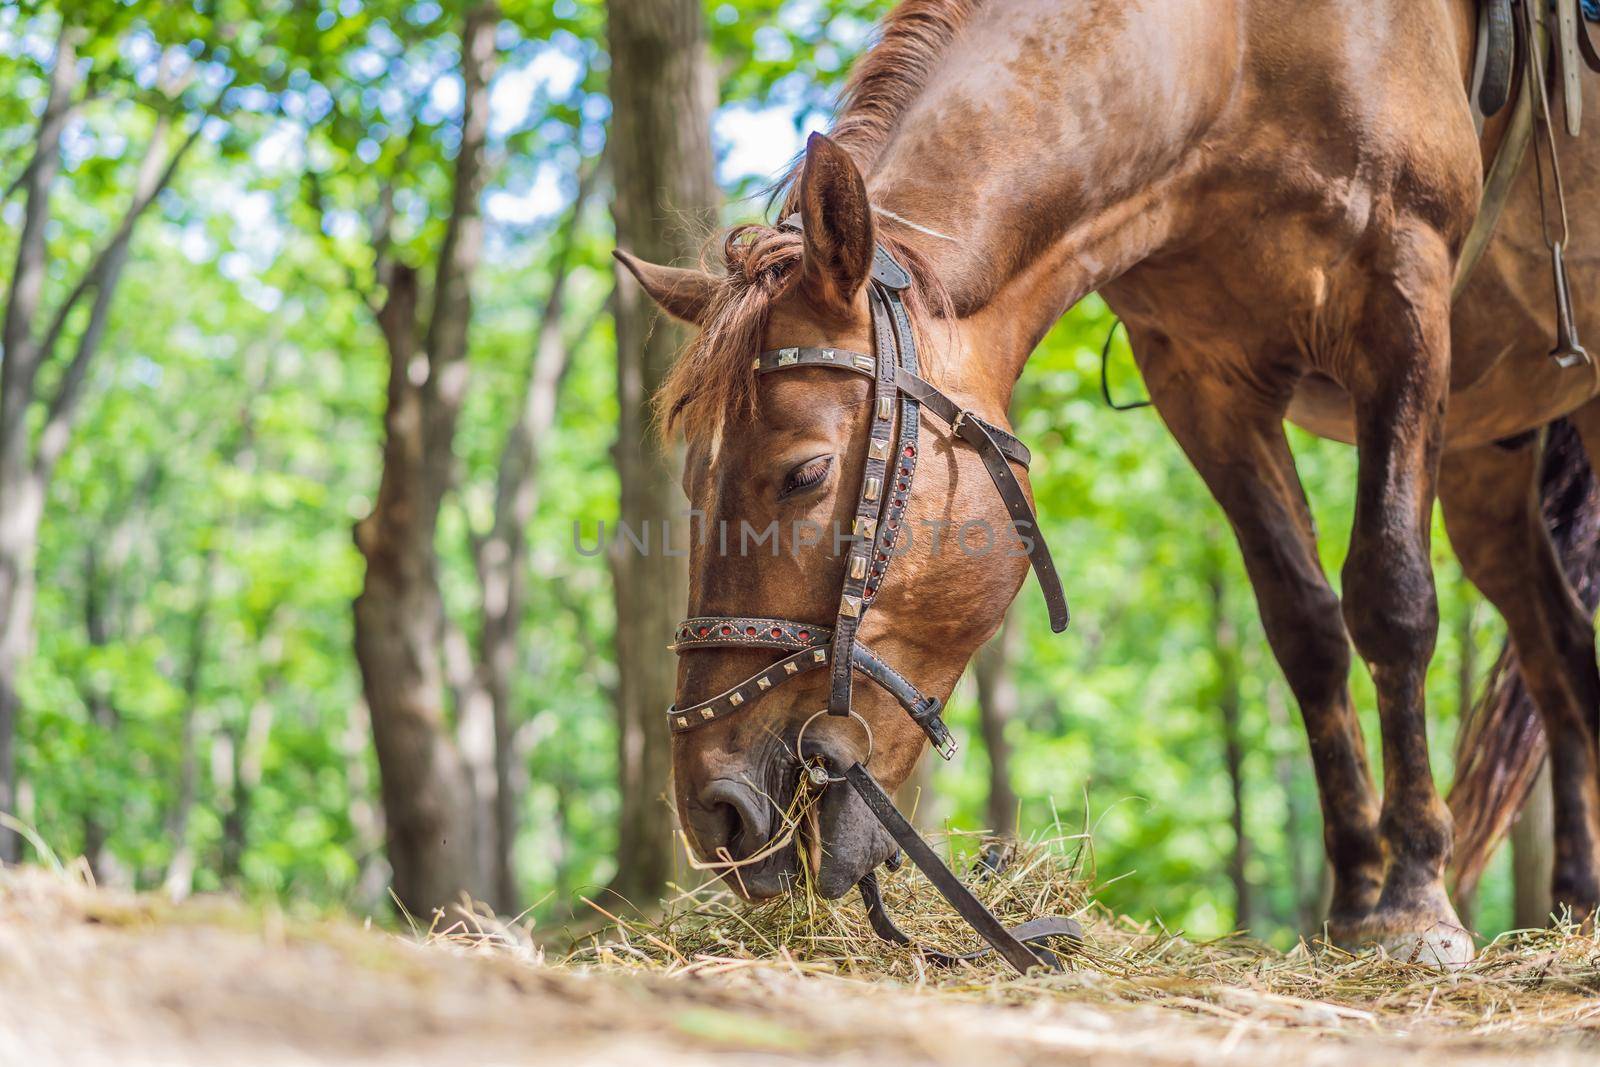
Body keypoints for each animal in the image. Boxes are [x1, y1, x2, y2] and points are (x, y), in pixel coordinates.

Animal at [611, 0, 1600, 966]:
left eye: (805, 473)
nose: (715, 811)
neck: (1236, 54)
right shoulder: (1203, 379)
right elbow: (1306, 627)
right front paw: (1357, 893)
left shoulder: (1404, 296)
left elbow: (1392, 599)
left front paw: (1412, 898)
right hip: (1486, 456)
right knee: (1557, 646)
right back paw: (1578, 895)